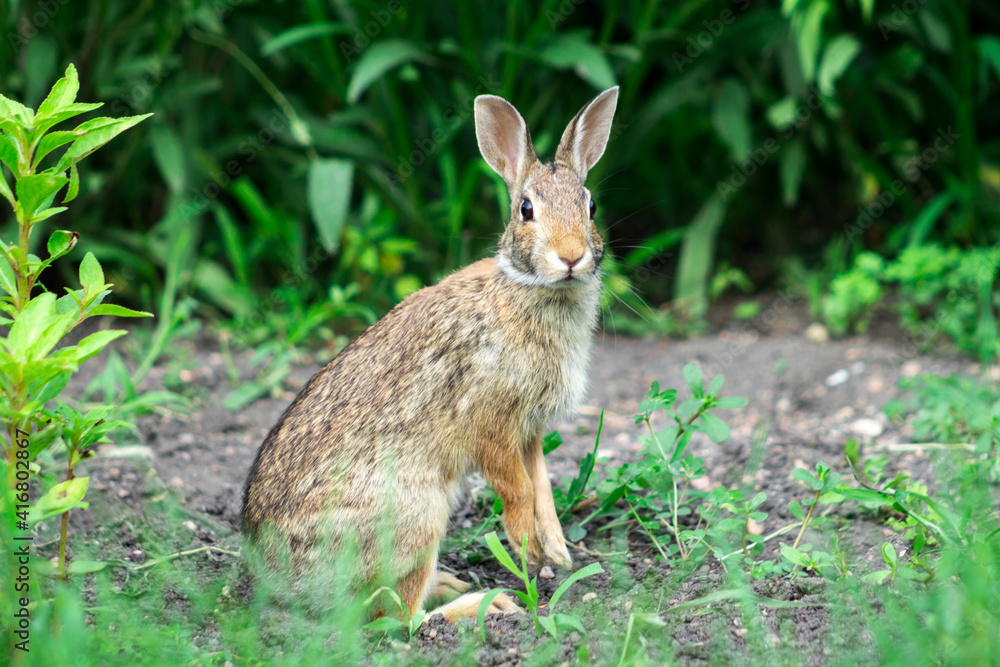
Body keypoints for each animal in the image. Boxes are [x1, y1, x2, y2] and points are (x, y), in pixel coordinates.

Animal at [241, 86, 619, 622]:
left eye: (591, 206)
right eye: (526, 209)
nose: (571, 257)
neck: (530, 291)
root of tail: (279, 582)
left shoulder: (529, 430)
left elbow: (542, 486)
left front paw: (558, 551)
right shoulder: (490, 424)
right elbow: (518, 490)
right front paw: (525, 553)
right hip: (415, 515)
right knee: (400, 621)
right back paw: (484, 603)